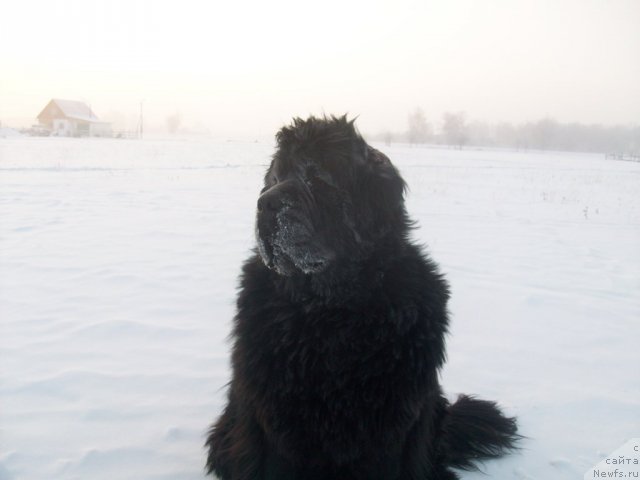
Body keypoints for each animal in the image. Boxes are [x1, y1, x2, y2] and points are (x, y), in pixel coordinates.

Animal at [208, 116, 516, 480]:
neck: (330, 311)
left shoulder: (391, 425)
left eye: (317, 177)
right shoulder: (272, 424)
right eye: (276, 177)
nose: (266, 202)